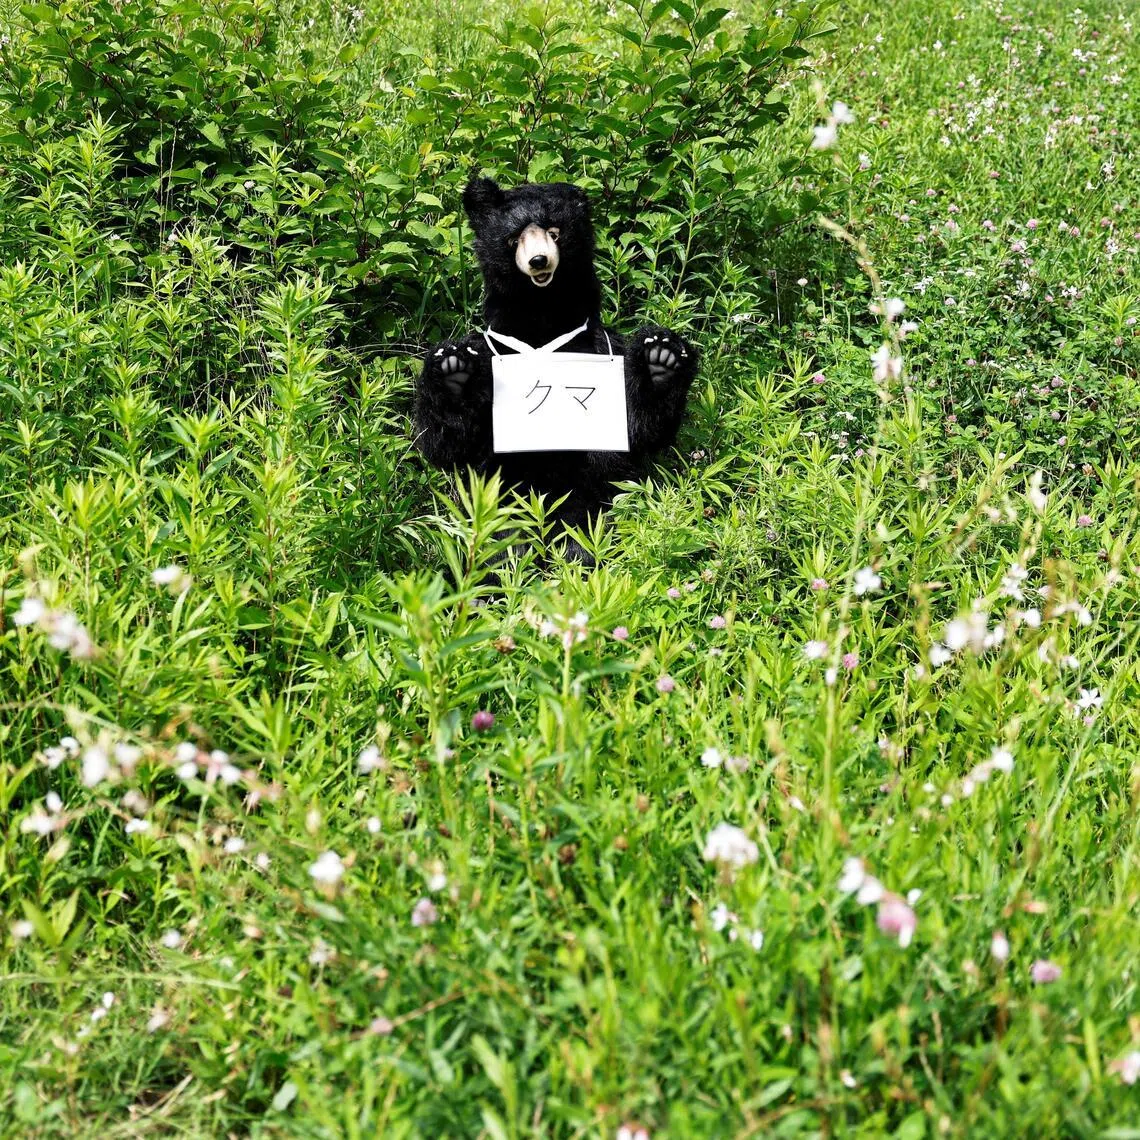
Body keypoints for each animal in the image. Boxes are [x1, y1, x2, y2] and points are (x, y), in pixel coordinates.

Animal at [413, 176, 698, 560]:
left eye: (554, 231)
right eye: (514, 238)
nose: (538, 260)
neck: (543, 324)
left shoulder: (601, 348)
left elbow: (636, 425)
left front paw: (661, 359)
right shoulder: (493, 350)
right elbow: (445, 443)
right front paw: (453, 368)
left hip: (588, 499)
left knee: (583, 535)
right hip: (499, 503)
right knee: (500, 543)